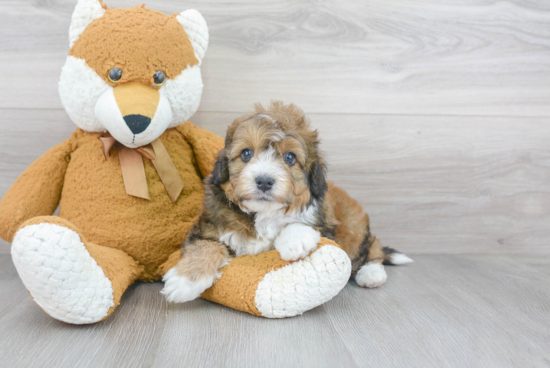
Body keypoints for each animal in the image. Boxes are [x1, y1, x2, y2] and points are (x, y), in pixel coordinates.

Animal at [162, 100, 412, 302]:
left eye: (290, 157)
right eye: (246, 153)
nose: (264, 181)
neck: (262, 214)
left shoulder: (325, 222)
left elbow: (298, 224)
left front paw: (295, 241)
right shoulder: (209, 225)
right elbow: (204, 245)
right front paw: (186, 280)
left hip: (354, 225)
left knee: (370, 246)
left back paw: (372, 273)